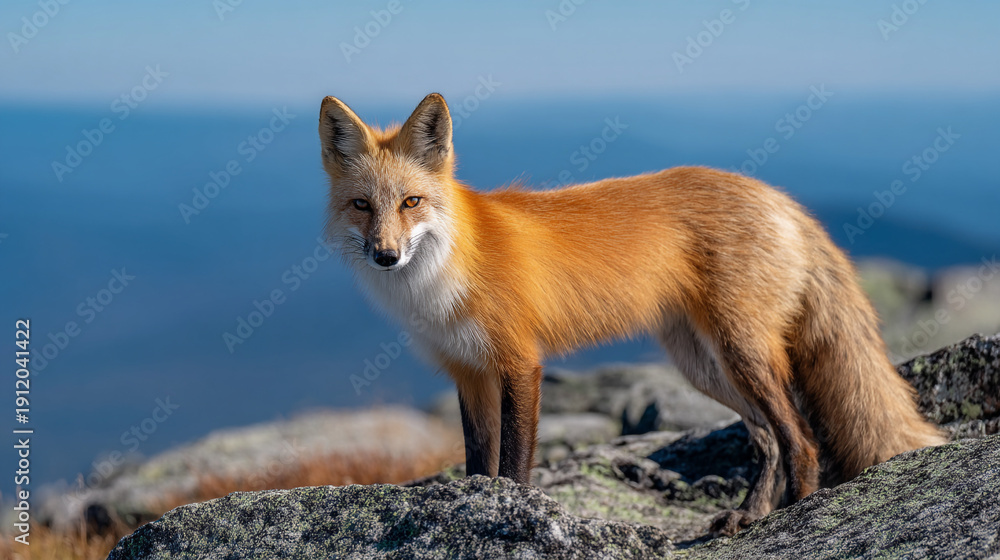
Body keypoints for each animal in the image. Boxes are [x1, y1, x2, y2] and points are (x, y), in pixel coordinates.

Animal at [317, 93, 945, 535]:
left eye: (411, 202)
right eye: (362, 206)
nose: (386, 255)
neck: (445, 277)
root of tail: (778, 197)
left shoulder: (520, 364)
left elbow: (514, 465)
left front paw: (509, 511)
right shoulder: (468, 372)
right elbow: (477, 463)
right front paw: (472, 503)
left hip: (741, 352)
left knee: (802, 440)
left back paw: (799, 515)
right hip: (705, 366)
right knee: (768, 441)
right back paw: (751, 517)